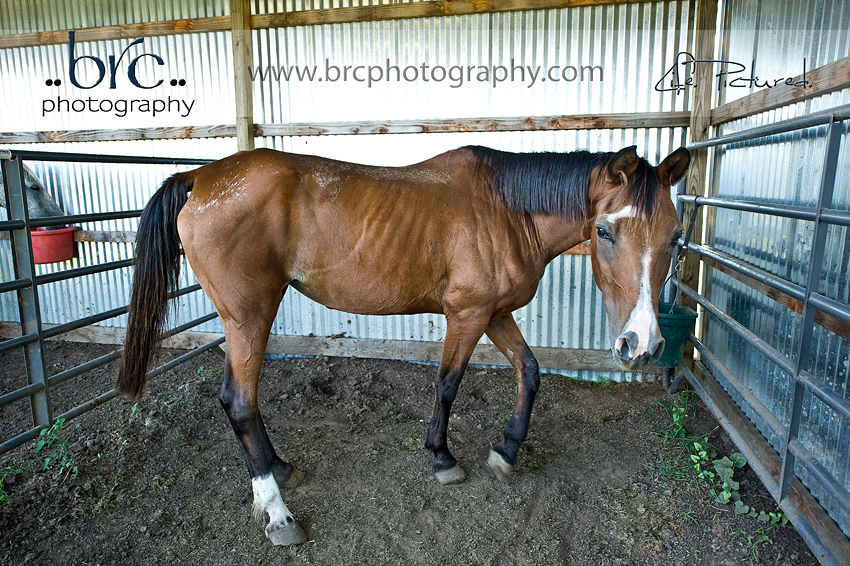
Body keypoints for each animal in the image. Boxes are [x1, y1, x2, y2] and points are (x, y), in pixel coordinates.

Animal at [116, 144, 690, 546]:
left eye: (675, 237)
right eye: (605, 231)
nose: (641, 345)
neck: (506, 211)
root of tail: (200, 177)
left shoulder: (495, 313)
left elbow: (529, 371)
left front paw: (507, 449)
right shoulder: (468, 314)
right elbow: (448, 385)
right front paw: (442, 457)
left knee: (241, 402)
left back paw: (276, 466)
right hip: (248, 316)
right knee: (239, 400)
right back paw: (278, 512)